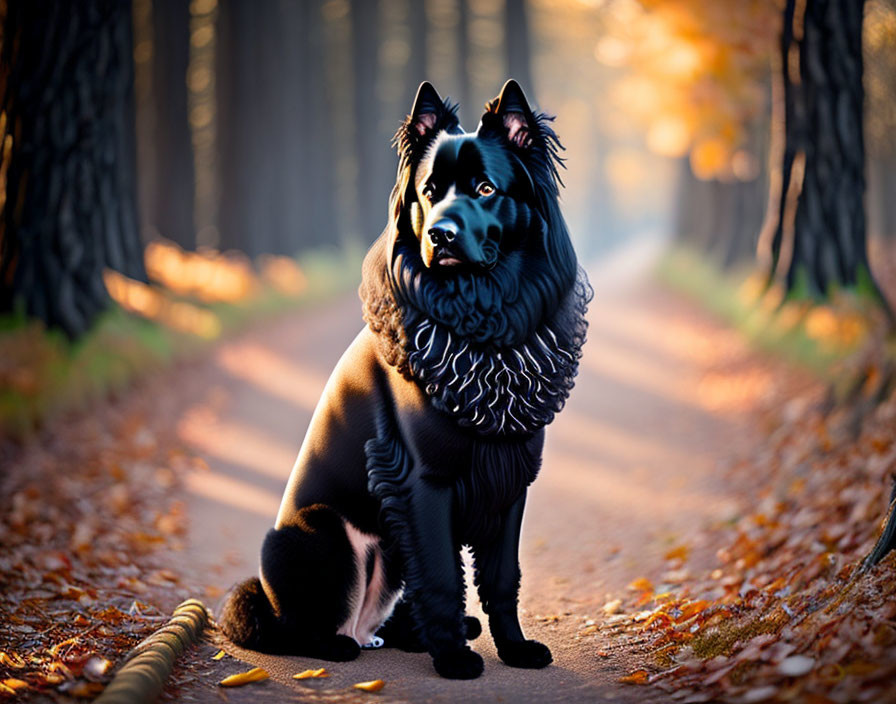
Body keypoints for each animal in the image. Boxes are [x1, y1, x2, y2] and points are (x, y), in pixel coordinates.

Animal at [220, 82, 592, 680]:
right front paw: (455, 661)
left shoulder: (508, 477)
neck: (477, 317)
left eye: (486, 188)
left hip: (390, 547)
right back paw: (342, 644)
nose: (440, 234)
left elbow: (501, 578)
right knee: (294, 628)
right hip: (318, 532)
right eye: (428, 192)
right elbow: (441, 578)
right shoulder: (425, 482)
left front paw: (513, 648)